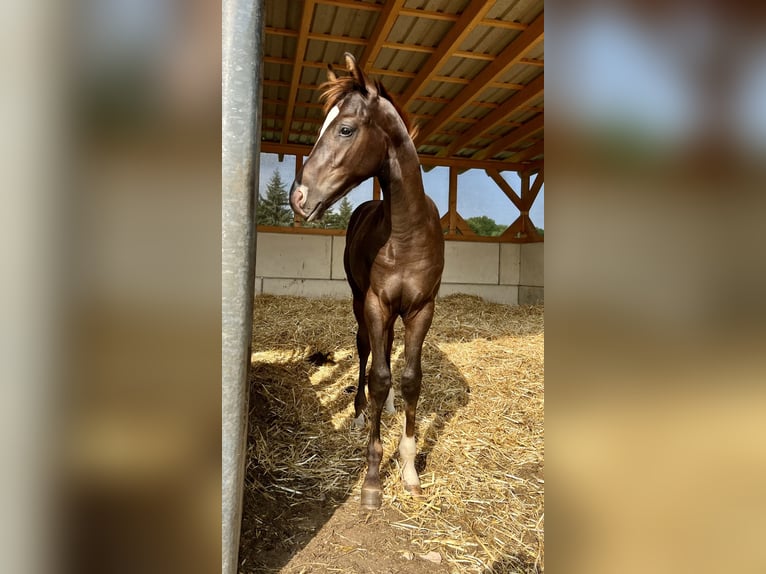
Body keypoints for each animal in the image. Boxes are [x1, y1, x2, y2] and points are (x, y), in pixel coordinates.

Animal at [289, 53, 445, 509]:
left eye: (345, 128)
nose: (298, 197)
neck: (407, 232)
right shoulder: (376, 302)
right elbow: (377, 375)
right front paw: (373, 479)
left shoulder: (421, 309)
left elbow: (409, 379)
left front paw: (410, 472)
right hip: (361, 301)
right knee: (364, 352)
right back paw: (360, 413)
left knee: (386, 353)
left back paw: (387, 407)